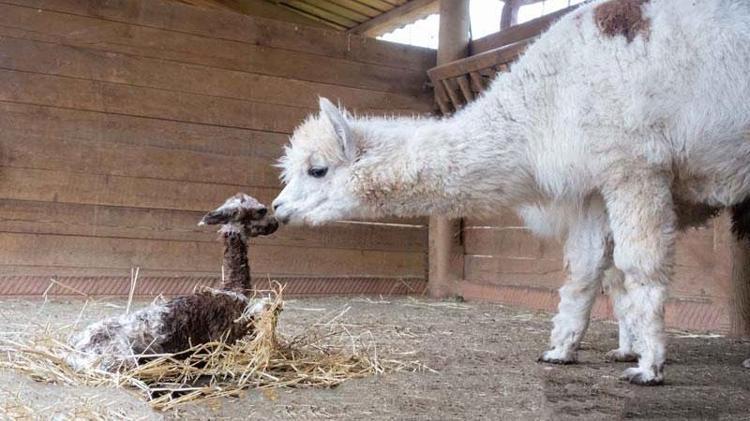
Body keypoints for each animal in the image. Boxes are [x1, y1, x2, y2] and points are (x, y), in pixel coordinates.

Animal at [66, 193, 279, 372]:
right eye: (261, 210)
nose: (275, 223)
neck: (232, 290)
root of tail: (75, 350)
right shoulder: (230, 334)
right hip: (120, 359)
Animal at [272, 0, 750, 386]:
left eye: (317, 170)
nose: (276, 207)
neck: (544, 107)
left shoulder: (634, 165)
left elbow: (638, 267)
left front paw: (648, 367)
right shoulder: (592, 183)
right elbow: (585, 271)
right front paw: (561, 351)